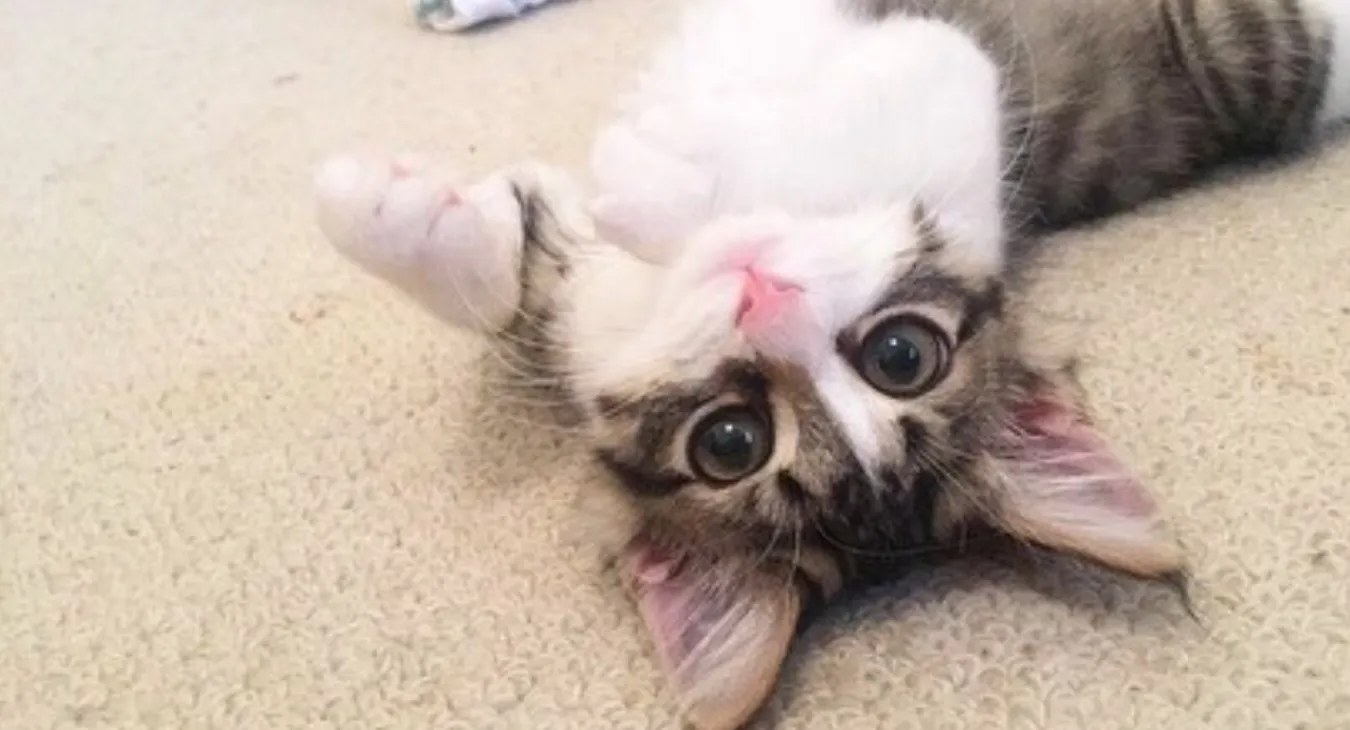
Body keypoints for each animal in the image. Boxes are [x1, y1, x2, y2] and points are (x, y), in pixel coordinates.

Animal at [309, 2, 1350, 723]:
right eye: (731, 442)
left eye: (901, 354)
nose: (761, 291)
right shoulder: (582, 323)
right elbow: (503, 276)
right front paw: (387, 209)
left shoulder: (960, 96)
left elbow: (906, 69)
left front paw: (652, 173)